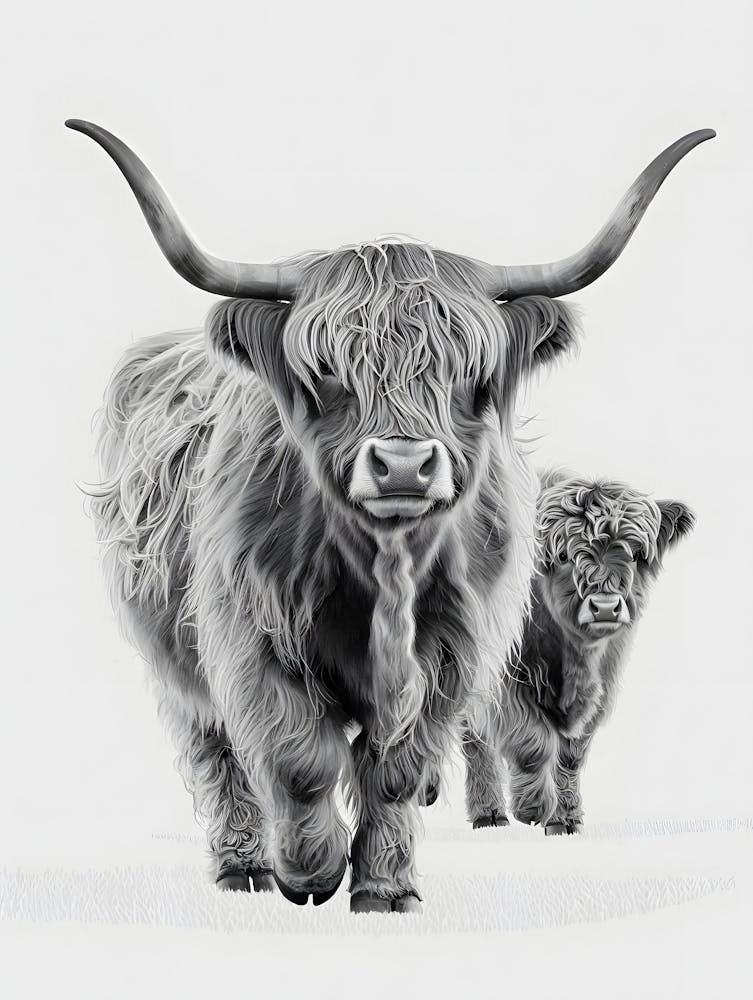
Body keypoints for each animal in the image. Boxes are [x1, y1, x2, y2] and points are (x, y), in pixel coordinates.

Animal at [462, 470, 695, 835]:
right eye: (562, 557)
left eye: (635, 555)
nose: (605, 607)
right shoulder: (504, 683)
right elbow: (532, 741)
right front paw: (532, 807)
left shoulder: (601, 691)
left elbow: (570, 755)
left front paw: (566, 818)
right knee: (475, 743)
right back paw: (489, 814)